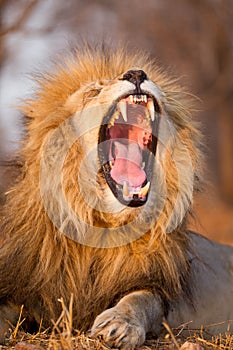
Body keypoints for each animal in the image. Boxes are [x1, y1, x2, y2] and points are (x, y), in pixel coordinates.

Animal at [0, 45, 233, 348]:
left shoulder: (157, 288)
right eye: (92, 91)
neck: (102, 226)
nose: (136, 74)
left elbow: (139, 300)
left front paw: (119, 325)